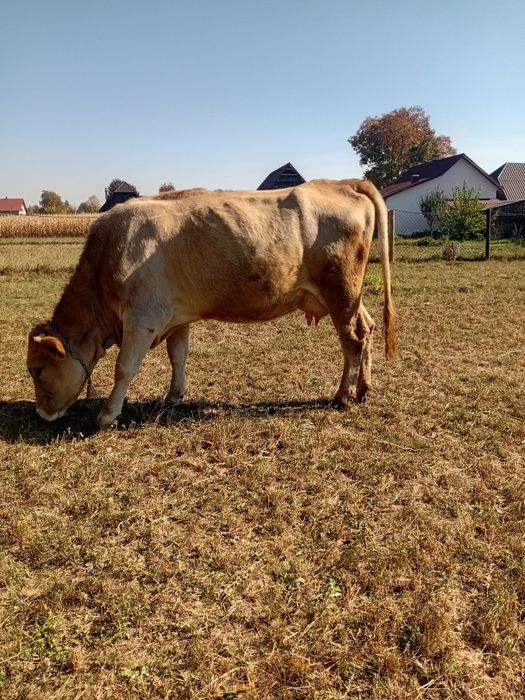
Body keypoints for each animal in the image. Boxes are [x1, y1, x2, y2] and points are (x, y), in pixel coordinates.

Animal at [27, 179, 396, 426]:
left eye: (37, 370)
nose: (41, 413)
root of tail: (341, 182)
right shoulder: (177, 317)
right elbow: (178, 356)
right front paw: (174, 396)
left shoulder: (142, 318)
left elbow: (125, 367)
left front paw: (107, 414)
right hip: (347, 297)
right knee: (367, 329)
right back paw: (363, 389)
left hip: (341, 292)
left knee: (353, 341)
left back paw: (343, 397)